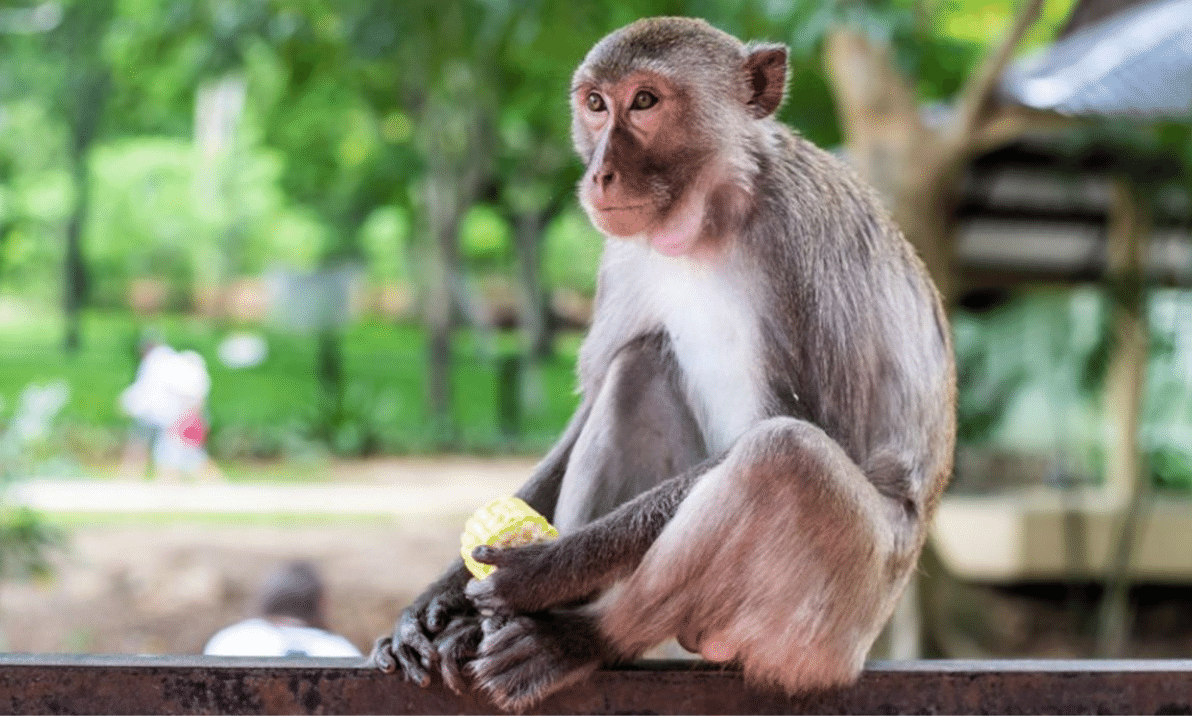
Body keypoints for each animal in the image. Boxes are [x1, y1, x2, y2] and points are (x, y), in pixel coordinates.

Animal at [376, 15, 953, 710]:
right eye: (597, 104)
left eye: (645, 102)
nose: (601, 174)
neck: (708, 217)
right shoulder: (622, 255)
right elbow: (594, 400)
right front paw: (439, 603)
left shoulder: (800, 245)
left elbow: (814, 431)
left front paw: (549, 569)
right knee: (640, 366)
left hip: (836, 623)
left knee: (786, 458)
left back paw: (579, 638)